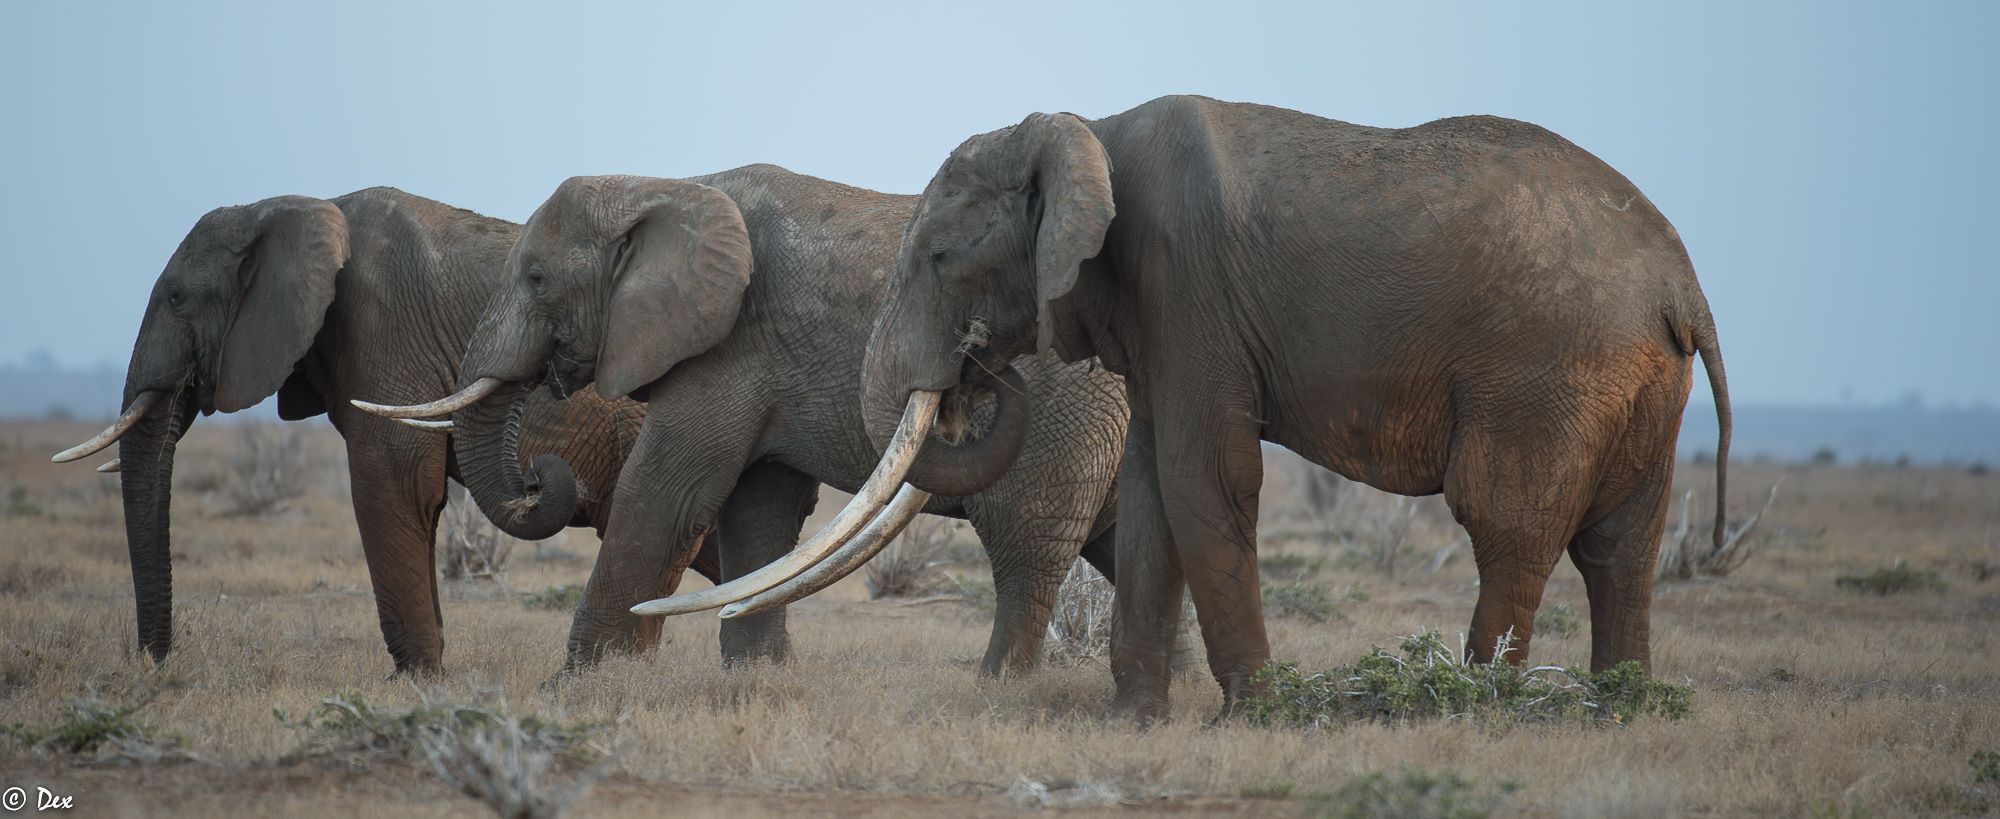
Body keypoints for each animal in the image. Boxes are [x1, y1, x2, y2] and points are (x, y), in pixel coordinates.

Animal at [47, 188, 728, 675]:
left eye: (177, 297)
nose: (157, 664)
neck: (298, 208)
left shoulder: (381, 332)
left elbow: (394, 486)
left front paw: (419, 679)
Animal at [828, 97, 1736, 723]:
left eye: (940, 257)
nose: (976, 365)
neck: (1084, 130)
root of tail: (1684, 285)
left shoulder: (1185, 286)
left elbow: (1204, 478)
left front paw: (1250, 717)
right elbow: (1155, 487)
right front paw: (1132, 722)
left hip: (1547, 372)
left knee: (1507, 524)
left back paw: (1476, 705)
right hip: (1642, 381)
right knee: (1621, 547)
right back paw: (1619, 707)